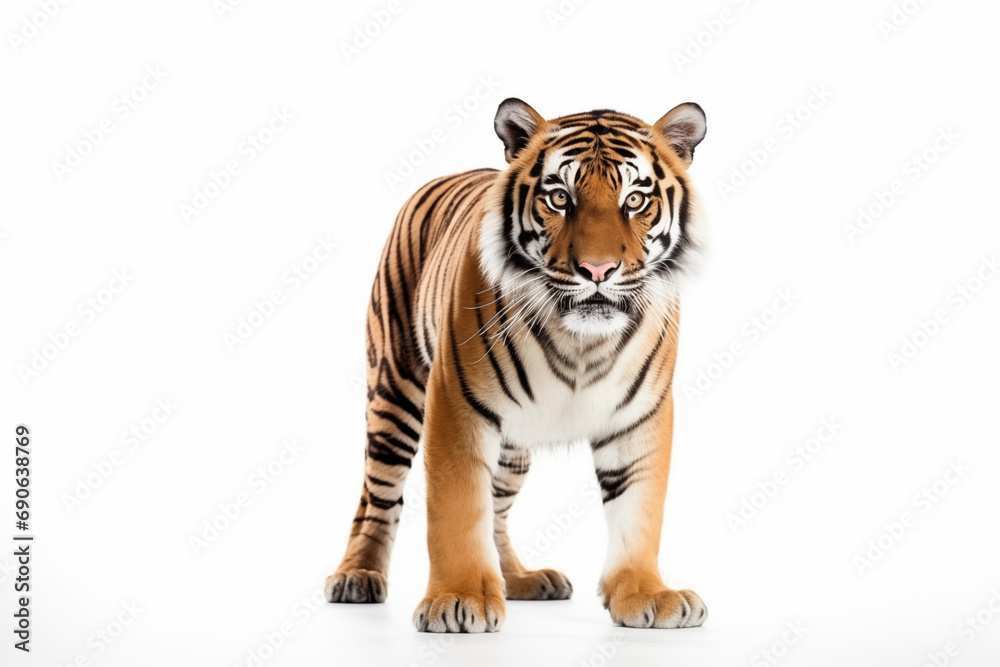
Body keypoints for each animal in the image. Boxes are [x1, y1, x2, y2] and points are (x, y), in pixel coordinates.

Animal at [325, 98, 708, 633]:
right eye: (559, 197)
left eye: (634, 200)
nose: (597, 271)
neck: (581, 343)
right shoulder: (456, 403)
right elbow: (458, 508)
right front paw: (459, 599)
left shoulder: (641, 415)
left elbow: (639, 509)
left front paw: (646, 594)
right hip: (394, 392)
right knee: (378, 494)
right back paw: (357, 576)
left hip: (513, 447)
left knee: (498, 511)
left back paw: (521, 580)